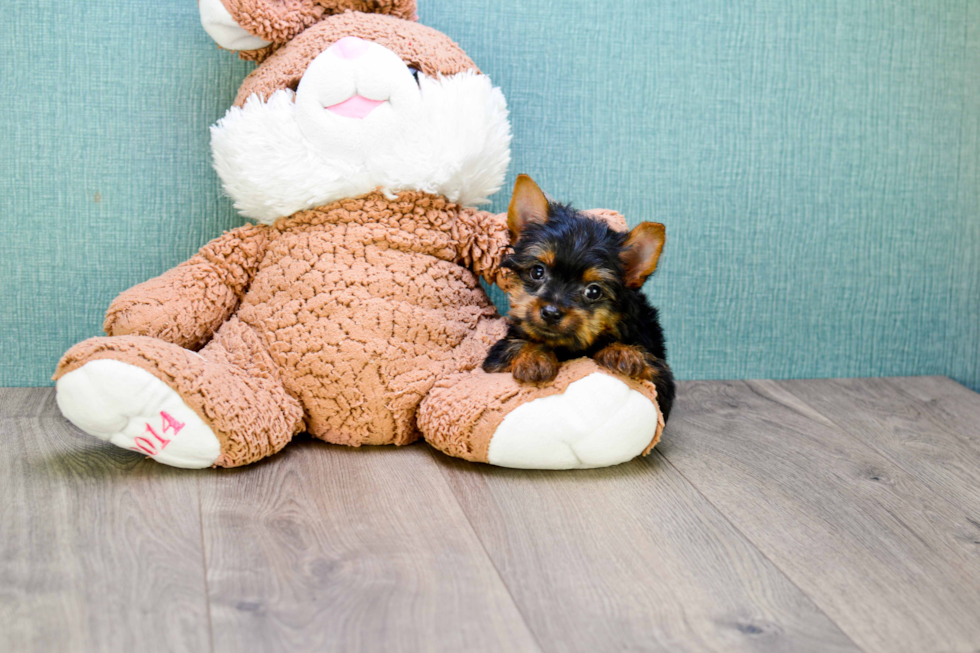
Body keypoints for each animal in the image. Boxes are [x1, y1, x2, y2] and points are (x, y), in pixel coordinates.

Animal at [482, 173, 672, 418]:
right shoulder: (496, 357)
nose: (551, 312)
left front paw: (623, 352)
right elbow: (515, 345)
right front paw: (535, 357)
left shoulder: (663, 381)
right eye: (537, 272)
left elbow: (654, 373)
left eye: (593, 291)